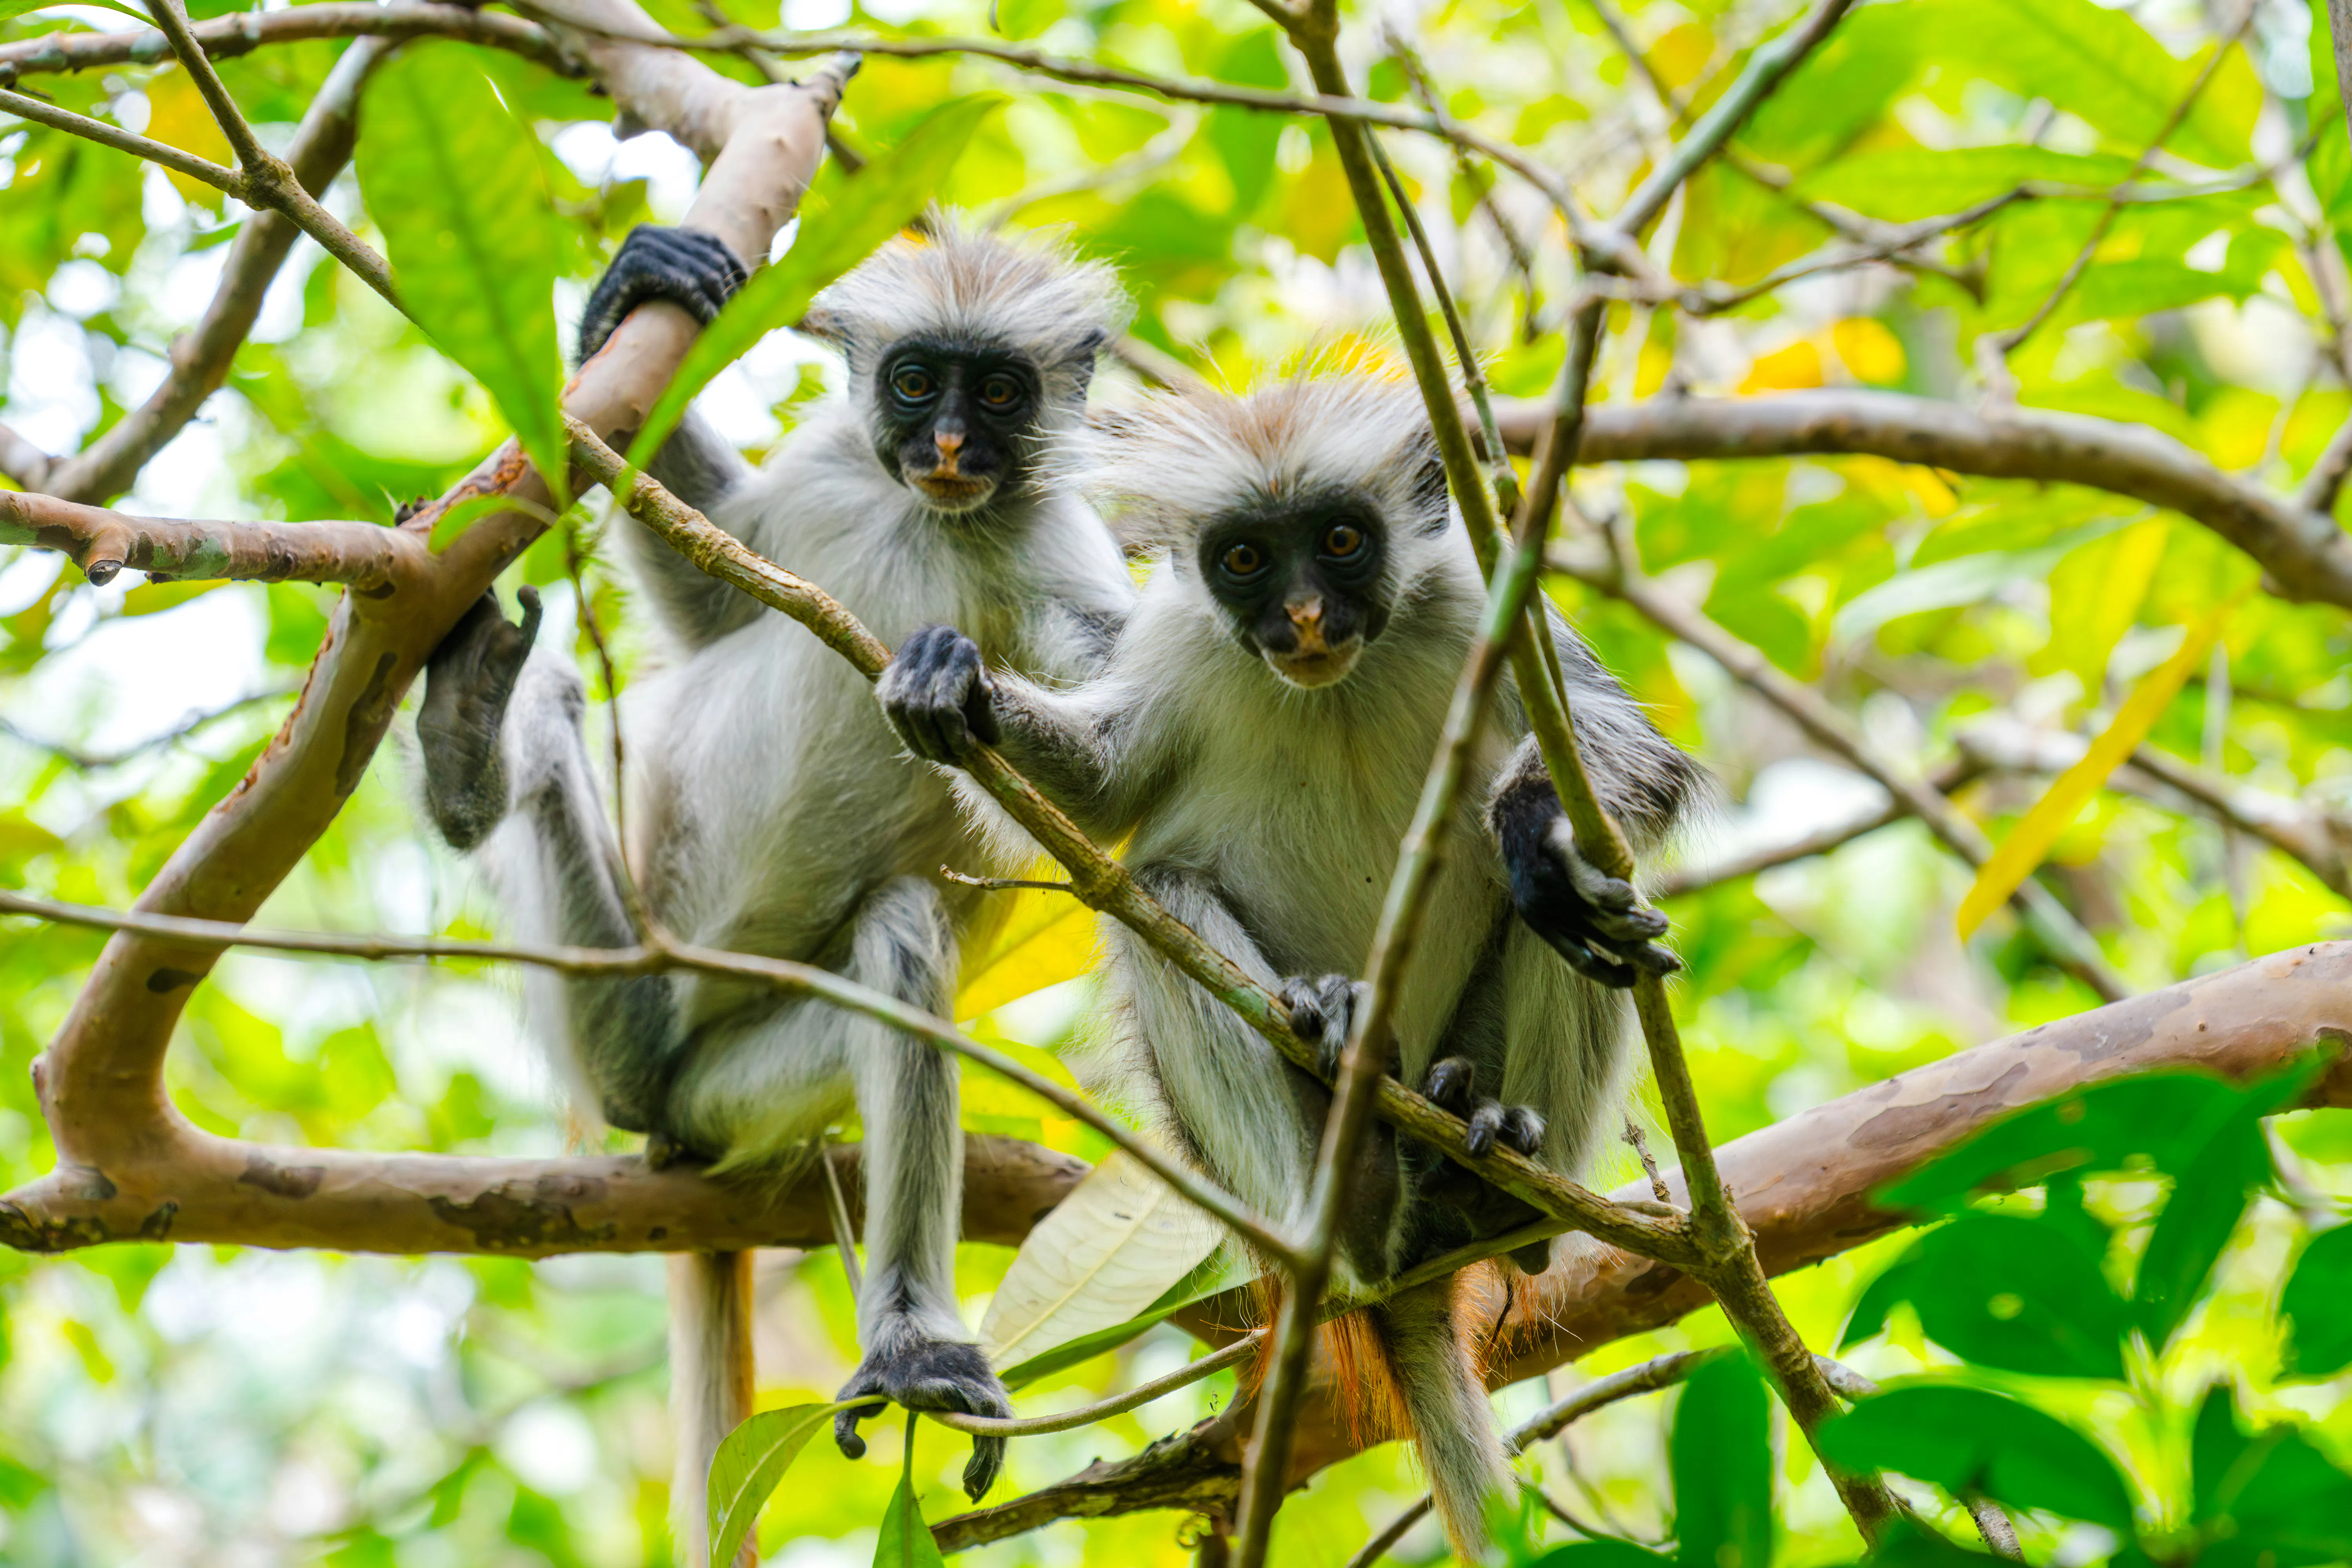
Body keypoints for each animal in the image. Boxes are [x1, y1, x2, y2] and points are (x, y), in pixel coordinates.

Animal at [412, 219, 1136, 1522]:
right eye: (916, 383)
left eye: (1001, 394)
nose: (948, 446)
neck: (933, 519)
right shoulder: (830, 474)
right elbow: (711, 602)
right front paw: (633, 291)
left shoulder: (1062, 557)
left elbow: (1108, 800)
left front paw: (962, 691)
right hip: (616, 979)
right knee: (551, 736)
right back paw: (468, 751)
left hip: (722, 1089)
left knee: (897, 937)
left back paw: (911, 1348)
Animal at [876, 371, 1703, 1555]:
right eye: (1245, 559)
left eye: (1343, 541)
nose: (1305, 617)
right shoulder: (1183, 638)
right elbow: (1104, 795)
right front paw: (960, 689)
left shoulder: (1480, 603)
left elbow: (1623, 768)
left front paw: (1537, 833)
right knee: (1160, 895)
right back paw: (1349, 1186)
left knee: (1579, 930)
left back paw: (1497, 1174)